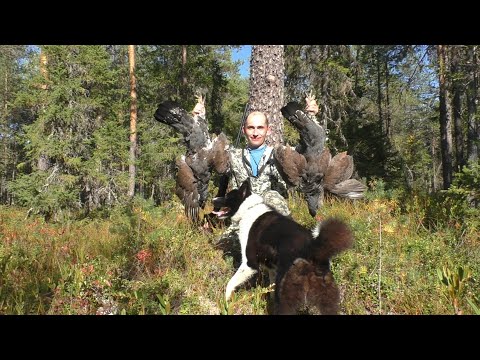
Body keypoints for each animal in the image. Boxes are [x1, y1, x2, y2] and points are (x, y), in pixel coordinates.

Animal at [214, 180, 352, 316]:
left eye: (227, 196)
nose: (213, 199)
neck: (249, 208)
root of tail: (313, 248)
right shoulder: (272, 268)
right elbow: (270, 286)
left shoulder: (249, 264)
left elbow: (230, 283)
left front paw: (225, 302)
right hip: (326, 299)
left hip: (285, 295)